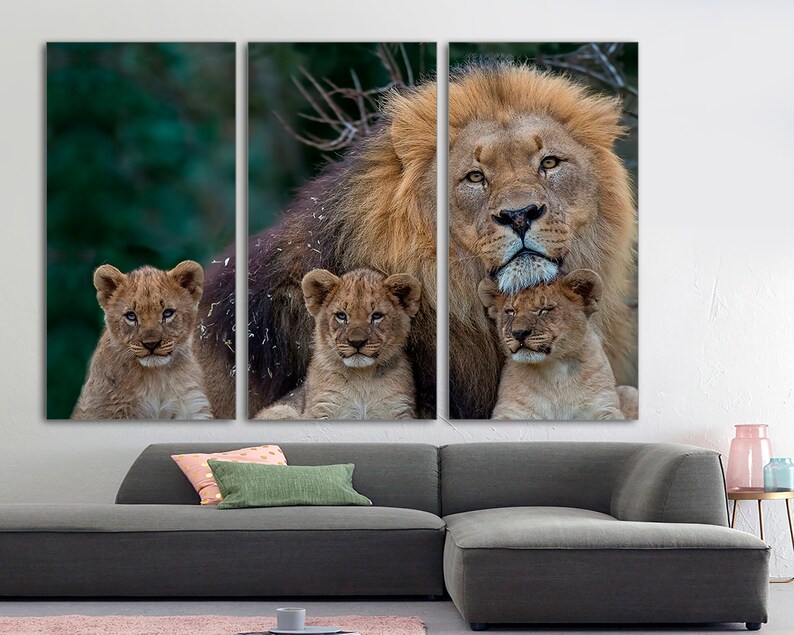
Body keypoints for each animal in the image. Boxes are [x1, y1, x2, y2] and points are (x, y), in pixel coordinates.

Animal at [254, 268, 421, 420]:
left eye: (377, 316)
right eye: (341, 315)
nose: (357, 342)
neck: (362, 377)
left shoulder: (399, 408)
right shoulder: (321, 407)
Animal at [478, 269, 637, 420]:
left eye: (545, 310)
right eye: (510, 312)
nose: (519, 333)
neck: (555, 372)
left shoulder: (604, 407)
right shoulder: (511, 411)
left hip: (629, 391)